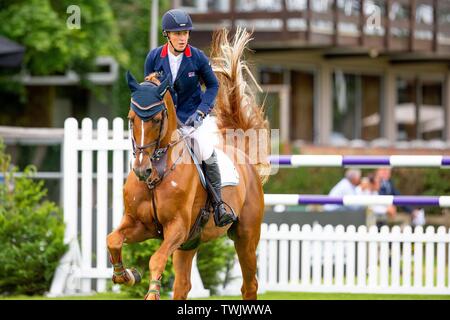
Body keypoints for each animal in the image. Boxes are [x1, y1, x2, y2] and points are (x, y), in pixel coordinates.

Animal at [106, 28, 268, 300]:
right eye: (130, 119)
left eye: (157, 119)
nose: (141, 170)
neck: (158, 172)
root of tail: (244, 159)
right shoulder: (140, 224)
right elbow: (112, 240)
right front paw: (126, 275)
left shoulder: (177, 227)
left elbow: (156, 260)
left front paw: (151, 291)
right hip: (190, 242)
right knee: (182, 285)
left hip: (245, 235)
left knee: (249, 285)